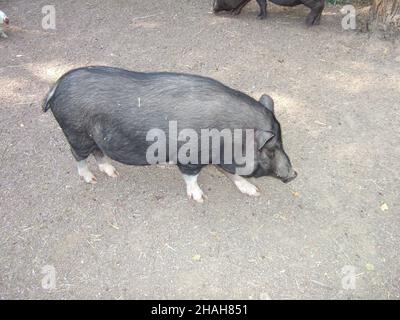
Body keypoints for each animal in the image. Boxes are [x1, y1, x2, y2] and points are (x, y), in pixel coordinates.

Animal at [42, 65, 296, 202]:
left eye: (282, 142)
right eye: (270, 150)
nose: (293, 174)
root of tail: (56, 86)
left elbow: (231, 173)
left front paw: (254, 192)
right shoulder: (191, 156)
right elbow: (191, 176)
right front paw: (200, 198)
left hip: (93, 137)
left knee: (99, 153)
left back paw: (112, 173)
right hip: (75, 132)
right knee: (78, 156)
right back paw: (90, 179)